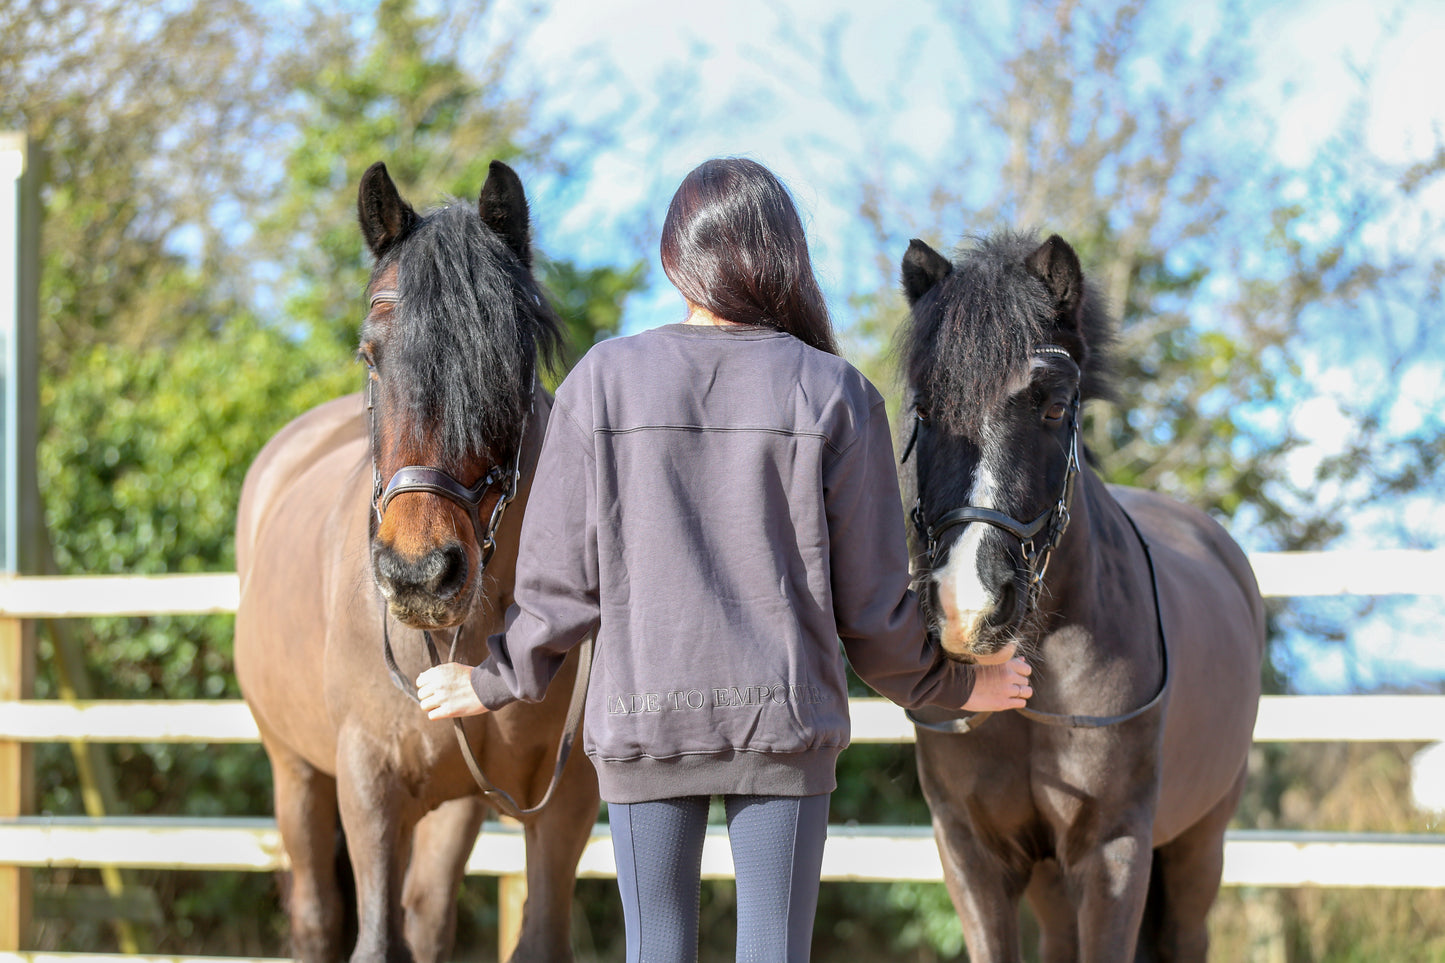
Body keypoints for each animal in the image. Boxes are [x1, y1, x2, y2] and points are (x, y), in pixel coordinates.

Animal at [236, 161, 598, 954]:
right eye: (369, 355)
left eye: (508, 360)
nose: (419, 575)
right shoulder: (368, 786)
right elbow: (375, 940)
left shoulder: (562, 805)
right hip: (294, 772)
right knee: (317, 915)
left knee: (429, 913)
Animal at [901, 234, 1265, 960]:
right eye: (924, 410)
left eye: (1053, 406)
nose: (966, 607)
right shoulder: (970, 852)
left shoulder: (1112, 850)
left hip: (1197, 847)